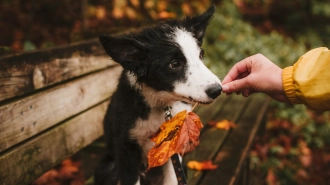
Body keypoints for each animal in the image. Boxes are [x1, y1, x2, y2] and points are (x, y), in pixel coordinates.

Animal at [94, 5, 222, 185]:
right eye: (174, 64)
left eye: (200, 56)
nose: (217, 90)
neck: (160, 104)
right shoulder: (126, 149)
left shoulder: (174, 146)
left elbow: (172, 178)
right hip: (107, 168)